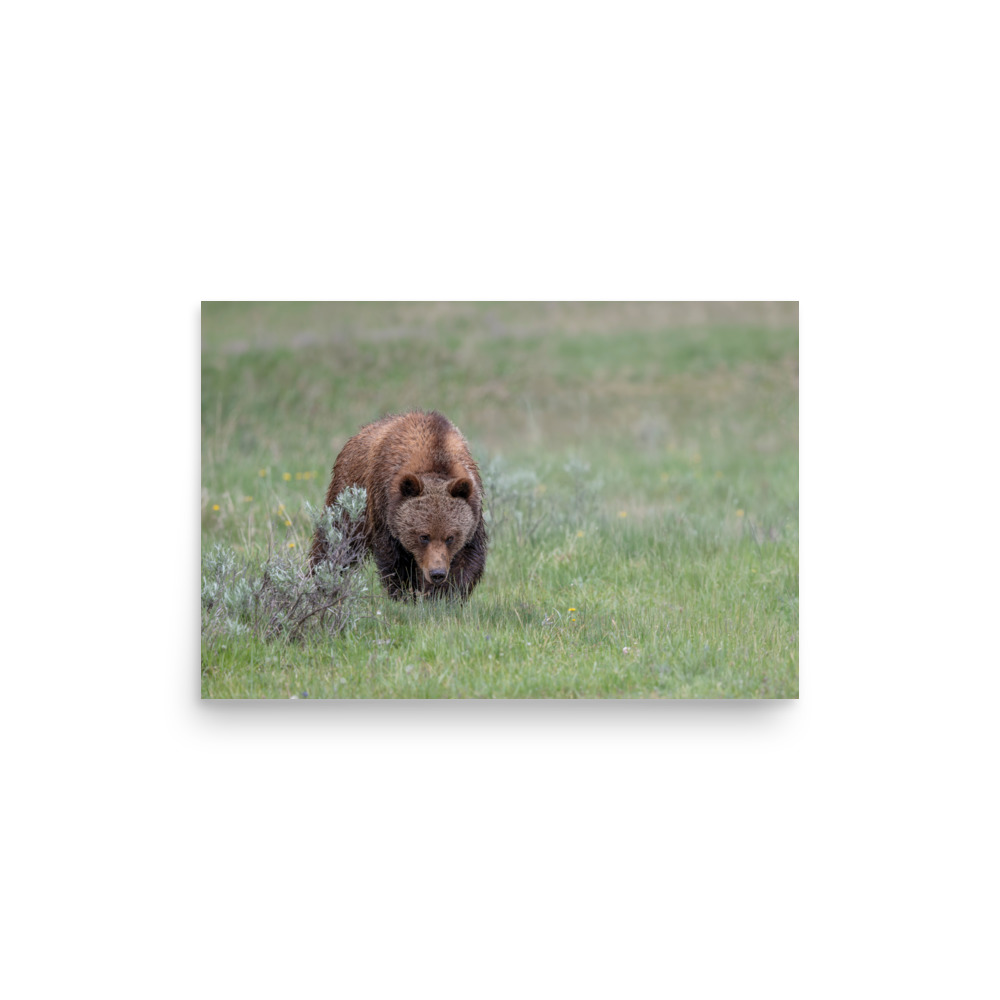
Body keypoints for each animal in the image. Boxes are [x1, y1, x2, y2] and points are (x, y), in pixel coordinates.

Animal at [309, 411, 488, 600]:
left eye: (450, 537)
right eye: (423, 536)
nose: (437, 573)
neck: (436, 458)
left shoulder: (473, 512)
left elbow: (467, 559)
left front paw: (444, 595)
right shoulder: (384, 507)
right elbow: (395, 560)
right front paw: (406, 594)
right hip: (350, 495)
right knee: (336, 540)